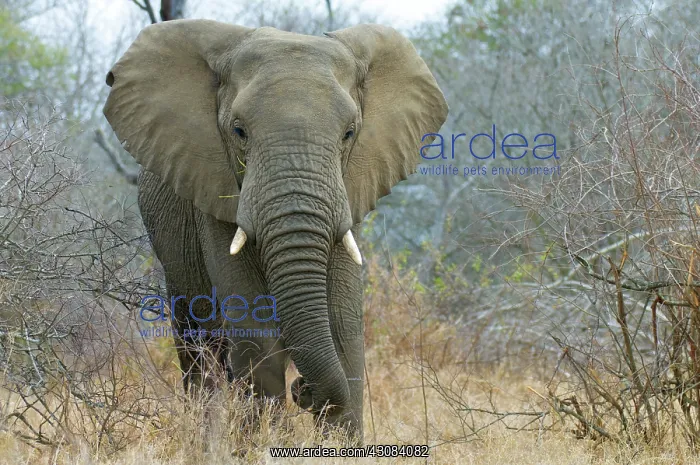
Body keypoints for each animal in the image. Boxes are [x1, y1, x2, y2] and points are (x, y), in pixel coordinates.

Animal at [102, 19, 447, 441]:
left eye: (349, 133)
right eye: (239, 131)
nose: (303, 390)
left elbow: (343, 327)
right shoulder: (215, 194)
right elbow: (256, 333)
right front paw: (265, 443)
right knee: (199, 343)